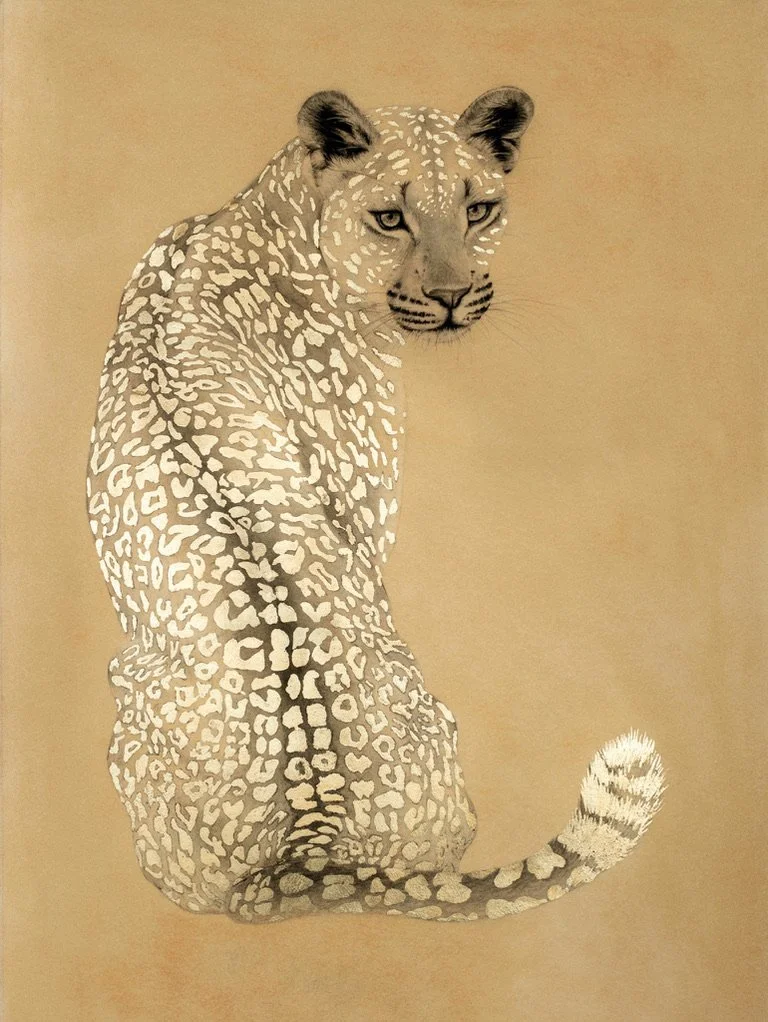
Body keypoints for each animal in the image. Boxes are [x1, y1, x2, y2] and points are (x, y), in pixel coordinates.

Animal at [86, 87, 665, 923]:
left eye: (478, 209)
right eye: (391, 217)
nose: (452, 298)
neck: (278, 214)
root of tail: (309, 853)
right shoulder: (359, 506)